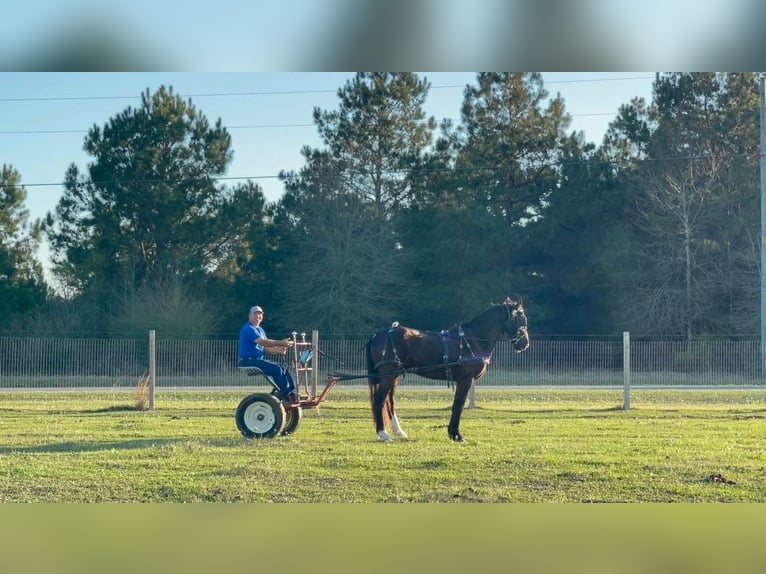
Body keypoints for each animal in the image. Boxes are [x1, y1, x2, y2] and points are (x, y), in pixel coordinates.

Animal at [364, 300, 528, 444]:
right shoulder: (465, 379)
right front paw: (456, 434)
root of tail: (377, 335)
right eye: (519, 319)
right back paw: (383, 434)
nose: (524, 343)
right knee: (379, 400)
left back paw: (399, 432)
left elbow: (457, 404)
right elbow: (458, 405)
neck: (473, 339)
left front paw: (452, 433)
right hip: (388, 376)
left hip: (393, 376)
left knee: (389, 402)